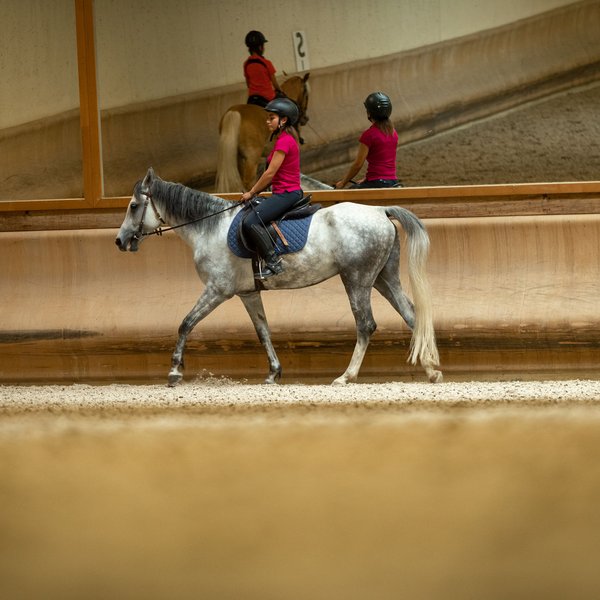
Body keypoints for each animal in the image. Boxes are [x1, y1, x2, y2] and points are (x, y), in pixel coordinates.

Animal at [117, 169, 442, 384]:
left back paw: (346, 376)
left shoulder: (217, 290)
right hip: (383, 278)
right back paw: (431, 369)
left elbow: (185, 323)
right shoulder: (248, 293)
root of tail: (379, 210)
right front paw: (274, 372)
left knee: (366, 325)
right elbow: (263, 331)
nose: (120, 241)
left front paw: (174, 371)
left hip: (357, 278)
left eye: (133, 206)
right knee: (412, 315)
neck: (209, 228)